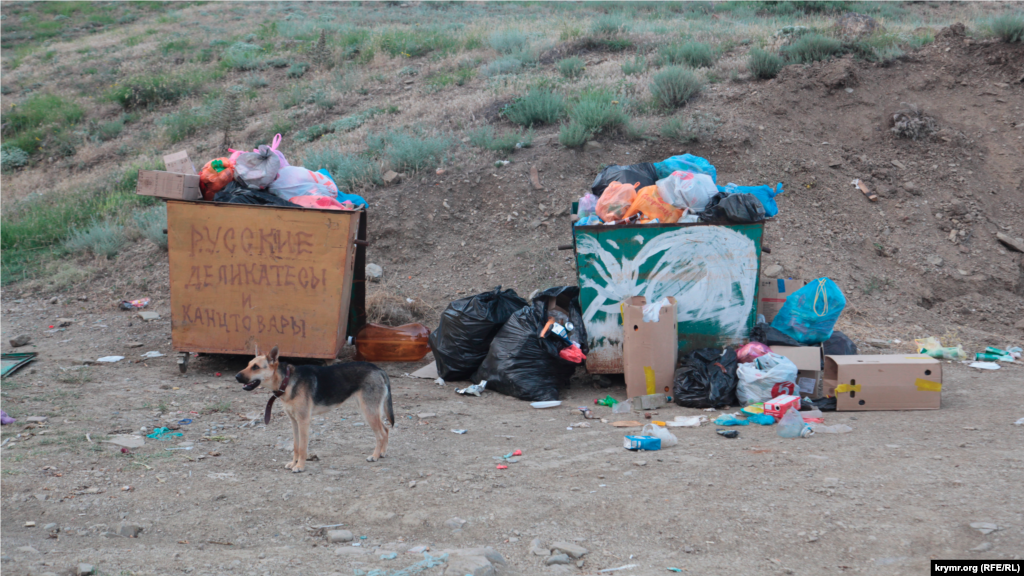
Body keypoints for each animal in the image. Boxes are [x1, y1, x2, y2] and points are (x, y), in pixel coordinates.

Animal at [236, 344, 395, 471]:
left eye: (256, 367)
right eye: (248, 364)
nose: (236, 377)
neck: (287, 381)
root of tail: (378, 369)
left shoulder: (303, 421)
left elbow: (302, 447)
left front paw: (300, 466)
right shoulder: (294, 422)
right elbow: (296, 446)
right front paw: (293, 463)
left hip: (368, 411)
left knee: (381, 434)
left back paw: (374, 456)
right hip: (369, 411)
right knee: (386, 429)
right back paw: (382, 453)